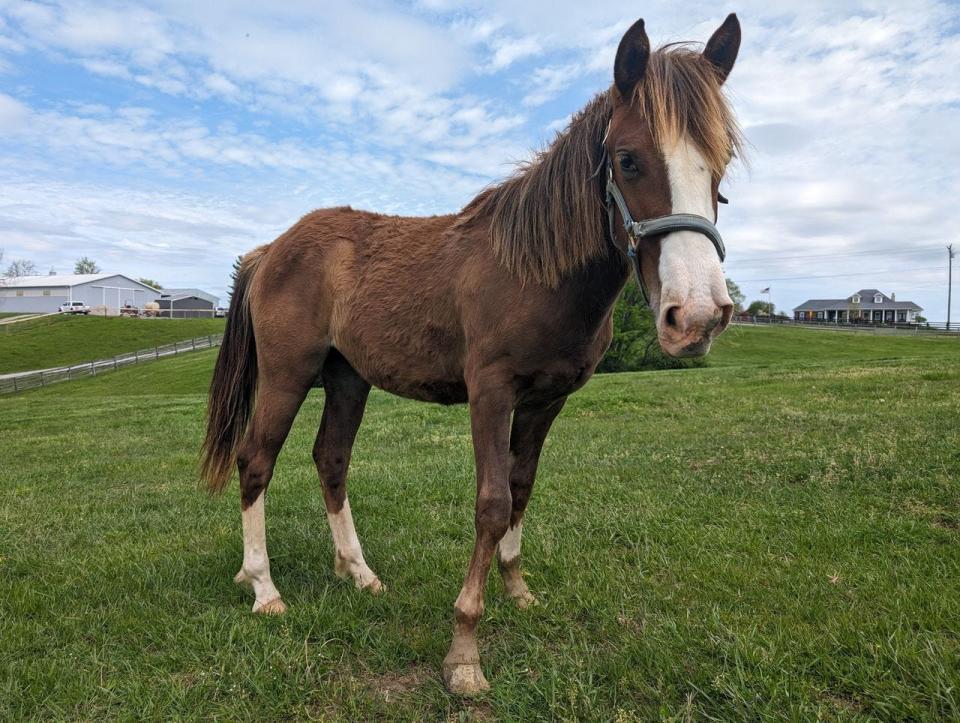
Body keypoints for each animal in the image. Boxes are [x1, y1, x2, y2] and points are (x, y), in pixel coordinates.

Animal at [202, 15, 744, 696]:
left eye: (721, 164)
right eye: (627, 159)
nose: (695, 317)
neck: (535, 271)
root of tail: (270, 249)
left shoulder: (545, 401)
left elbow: (521, 488)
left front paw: (517, 588)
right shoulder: (491, 394)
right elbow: (491, 504)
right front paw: (464, 650)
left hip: (347, 379)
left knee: (331, 460)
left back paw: (358, 572)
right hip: (287, 374)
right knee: (256, 460)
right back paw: (263, 587)